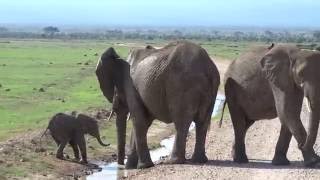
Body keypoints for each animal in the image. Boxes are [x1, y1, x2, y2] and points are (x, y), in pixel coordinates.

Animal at [95, 40, 220, 169]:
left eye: (115, 91)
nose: (121, 165)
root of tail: (206, 66)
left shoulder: (131, 85)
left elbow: (139, 121)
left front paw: (142, 166)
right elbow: (144, 122)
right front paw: (131, 167)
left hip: (182, 86)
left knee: (182, 123)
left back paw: (173, 161)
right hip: (212, 88)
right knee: (202, 123)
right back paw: (199, 160)